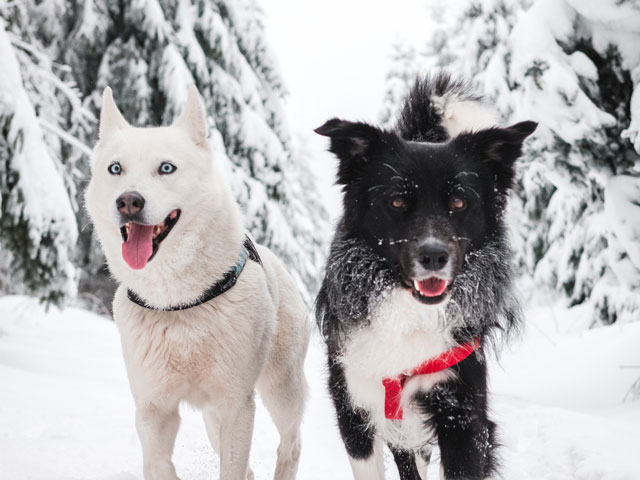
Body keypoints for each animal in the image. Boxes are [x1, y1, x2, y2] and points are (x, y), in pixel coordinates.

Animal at [86, 84, 312, 478]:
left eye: (166, 168)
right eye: (116, 168)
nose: (128, 201)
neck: (178, 302)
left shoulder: (237, 405)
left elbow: (234, 467)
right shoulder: (153, 409)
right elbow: (159, 463)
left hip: (280, 388)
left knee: (291, 443)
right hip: (211, 418)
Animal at [314, 73, 536, 478]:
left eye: (460, 202)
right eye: (397, 201)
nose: (434, 256)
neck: (409, 315)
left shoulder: (463, 415)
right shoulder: (354, 408)